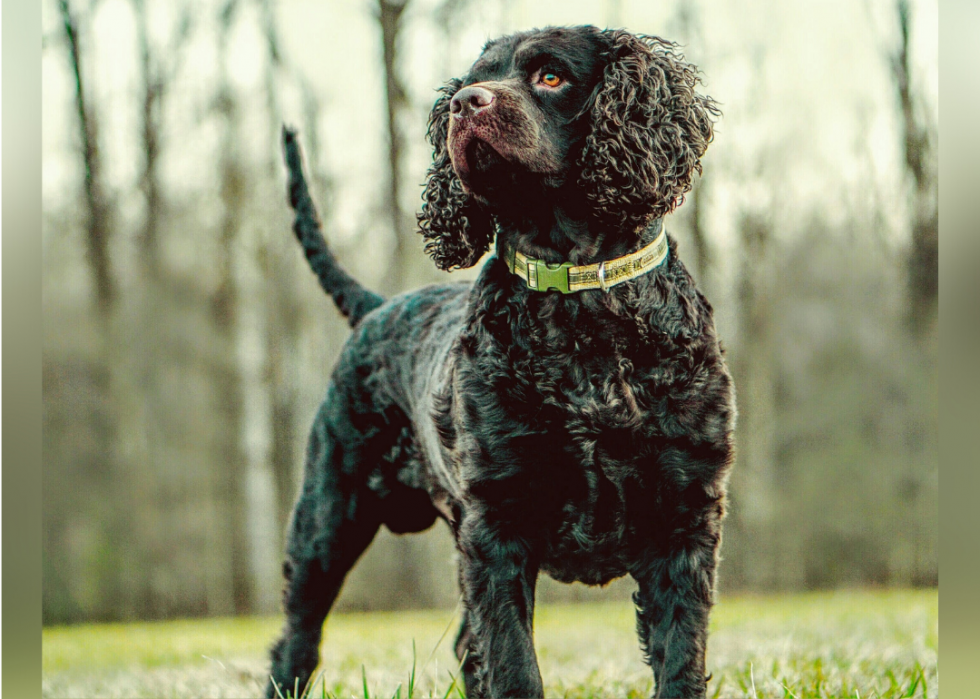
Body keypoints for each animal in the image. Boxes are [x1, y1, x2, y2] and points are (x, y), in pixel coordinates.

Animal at [268, 24, 736, 699]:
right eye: (471, 80)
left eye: (550, 76)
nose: (466, 104)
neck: (580, 310)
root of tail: (378, 307)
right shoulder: (498, 525)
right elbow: (513, 665)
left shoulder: (685, 518)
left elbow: (680, 662)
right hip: (328, 516)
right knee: (297, 640)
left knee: (465, 645)